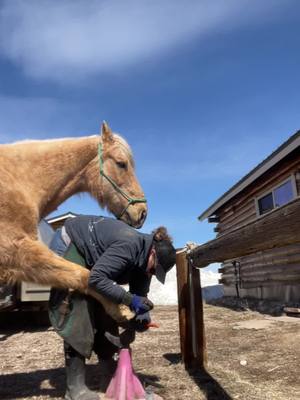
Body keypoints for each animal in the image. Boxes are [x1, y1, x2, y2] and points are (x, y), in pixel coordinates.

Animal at [0, 122, 146, 322]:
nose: (143, 212)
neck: (20, 182)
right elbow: (83, 274)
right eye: (121, 164)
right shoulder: (17, 251)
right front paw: (120, 309)